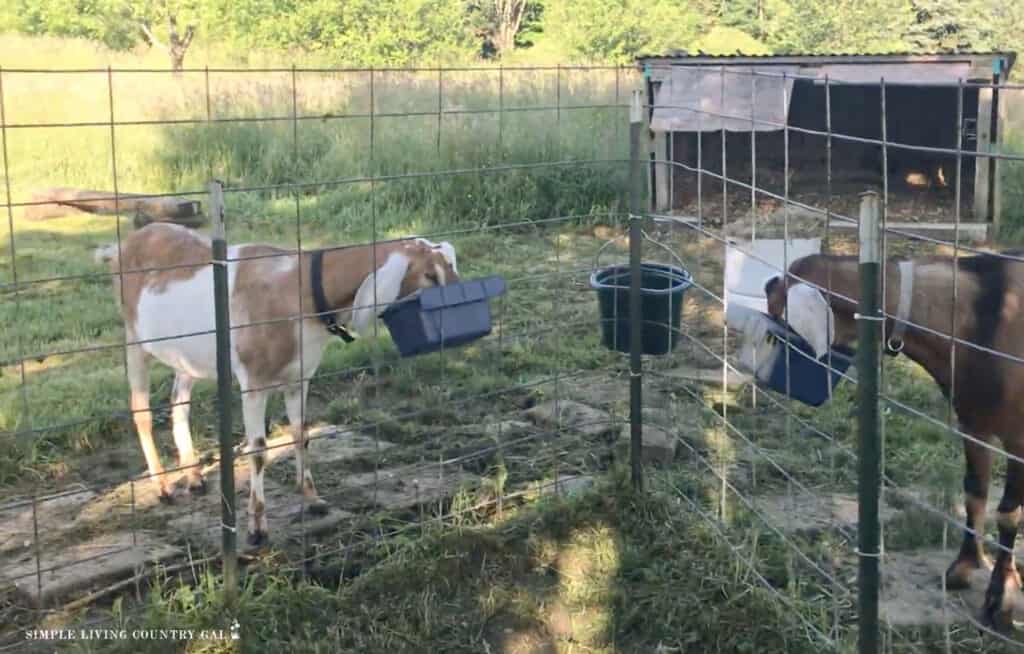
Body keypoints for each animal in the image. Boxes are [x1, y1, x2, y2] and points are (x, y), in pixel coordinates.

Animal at [96, 225, 460, 548]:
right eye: (429, 275)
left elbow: (302, 434)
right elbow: (258, 450)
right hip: (134, 340)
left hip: (186, 356)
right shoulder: (254, 384)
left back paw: (195, 477)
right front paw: (257, 529)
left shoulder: (299, 378)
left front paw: (313, 500)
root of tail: (121, 247)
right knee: (141, 411)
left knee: (179, 403)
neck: (299, 290)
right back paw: (162, 486)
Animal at [765, 251, 1024, 634]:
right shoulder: (974, 423)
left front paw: (1000, 599)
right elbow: (974, 494)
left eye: (781, 316)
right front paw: (963, 568)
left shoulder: (1018, 436)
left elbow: (1007, 514)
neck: (979, 316)